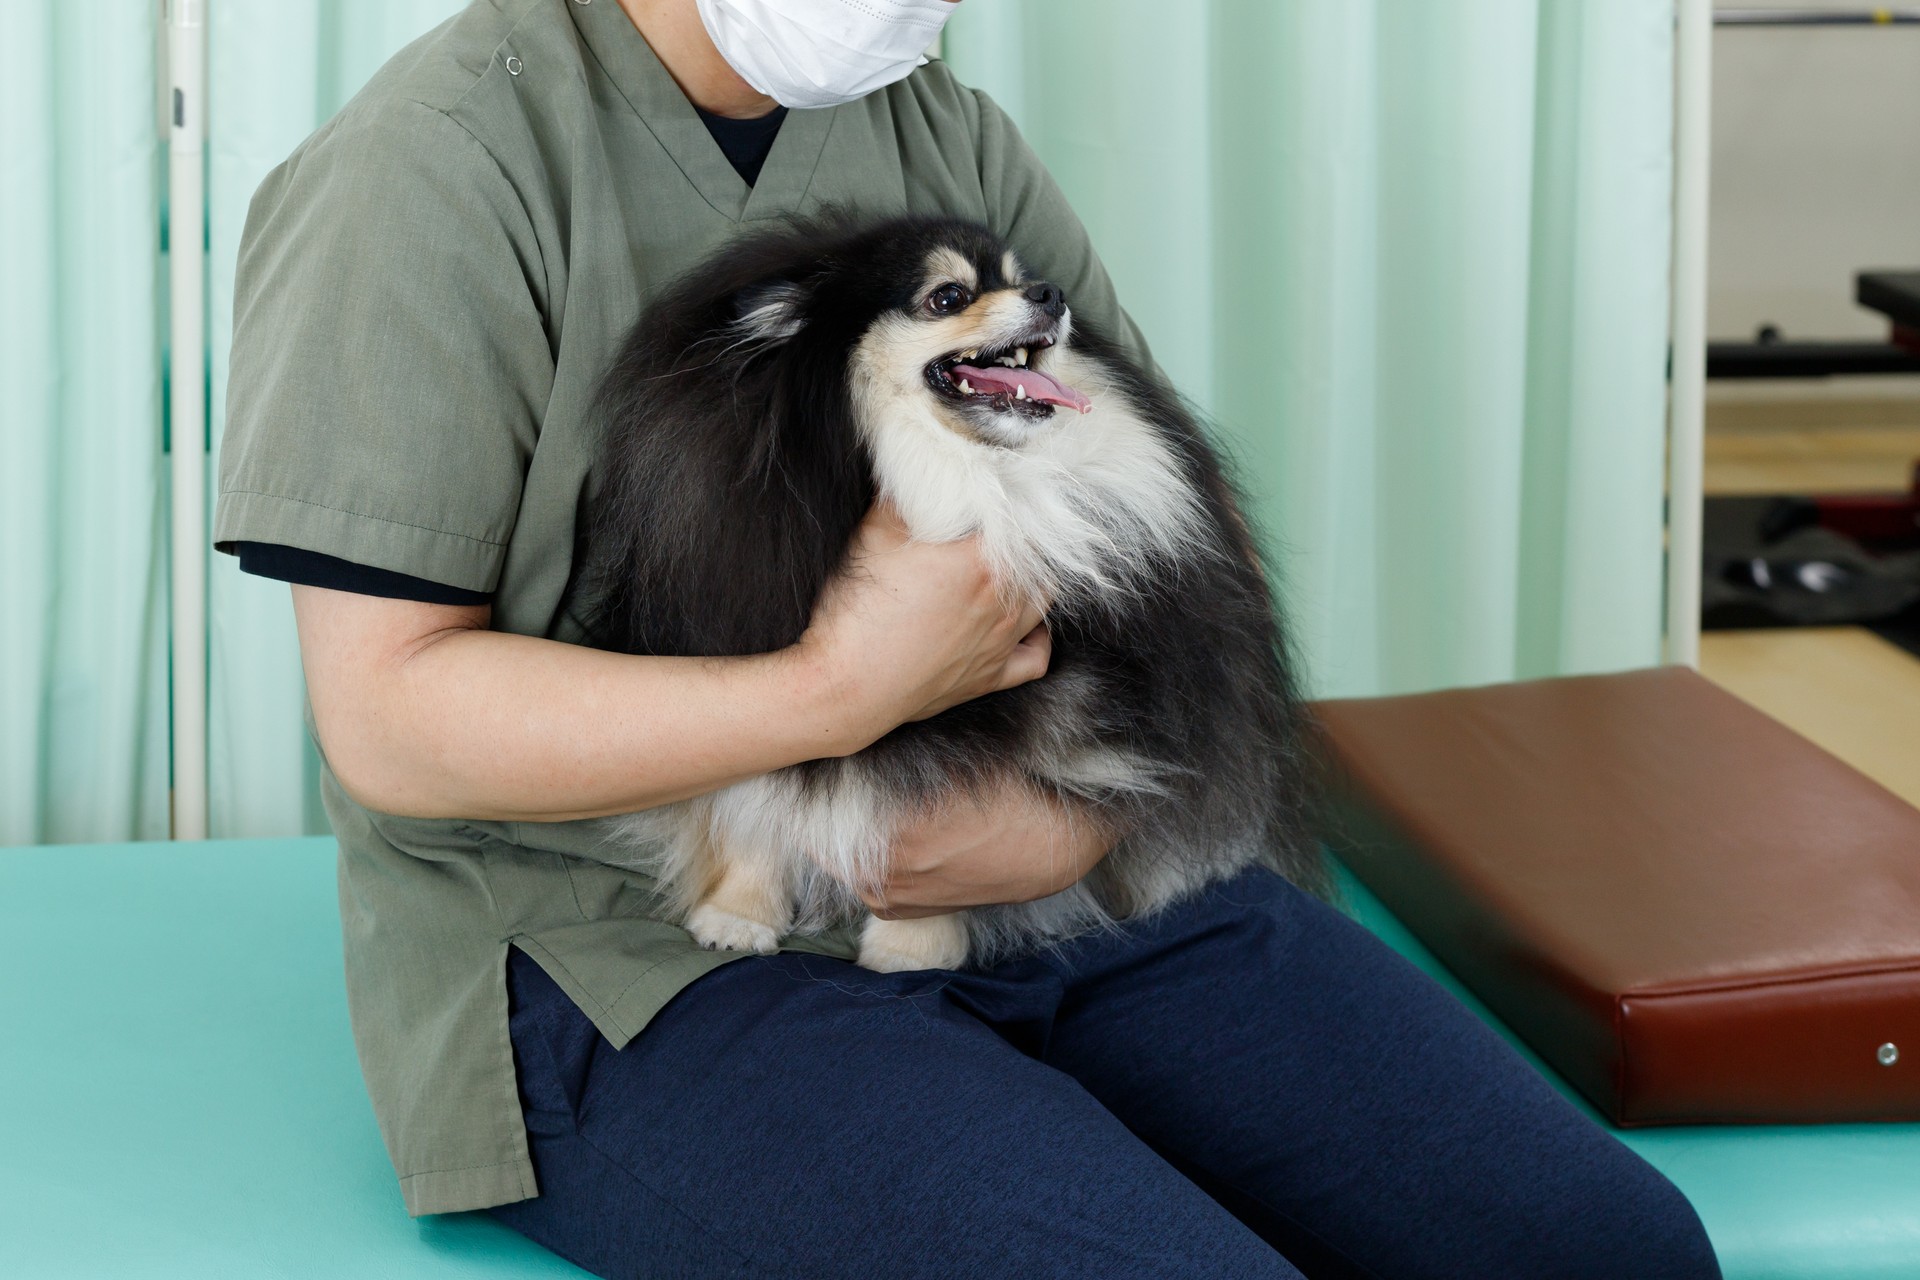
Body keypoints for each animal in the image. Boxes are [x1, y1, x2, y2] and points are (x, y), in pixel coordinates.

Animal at [583, 214, 1328, 971]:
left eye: (1020, 276)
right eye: (947, 297)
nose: (1051, 292)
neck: (966, 482)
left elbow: (938, 805)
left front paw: (914, 947)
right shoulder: (735, 635)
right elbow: (753, 801)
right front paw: (737, 915)